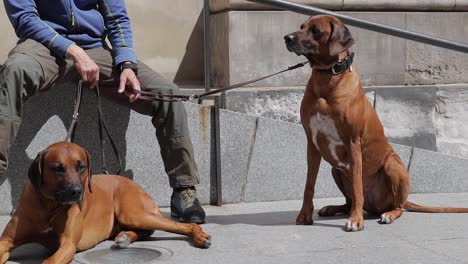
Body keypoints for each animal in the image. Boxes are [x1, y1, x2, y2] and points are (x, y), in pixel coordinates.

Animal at [0, 142, 210, 264]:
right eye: (57, 168)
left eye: (81, 167)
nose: (77, 192)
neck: (49, 206)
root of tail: (136, 185)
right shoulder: (6, 240)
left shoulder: (68, 244)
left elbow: (50, 260)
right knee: (144, 231)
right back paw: (125, 237)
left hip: (132, 213)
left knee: (182, 225)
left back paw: (200, 236)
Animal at [284, 15, 468, 232]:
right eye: (301, 26)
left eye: (315, 30)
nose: (287, 38)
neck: (327, 77)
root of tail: (377, 206)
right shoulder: (312, 144)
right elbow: (309, 185)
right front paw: (305, 214)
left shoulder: (353, 142)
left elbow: (357, 186)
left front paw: (355, 220)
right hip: (336, 170)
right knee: (349, 201)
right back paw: (334, 208)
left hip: (392, 165)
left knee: (397, 206)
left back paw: (387, 214)